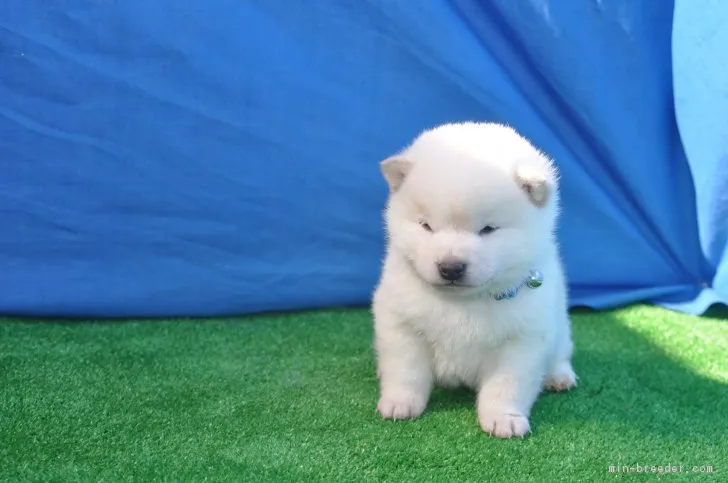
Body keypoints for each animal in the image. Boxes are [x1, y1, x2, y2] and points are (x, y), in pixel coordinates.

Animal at [372, 121, 576, 438]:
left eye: (488, 229)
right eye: (426, 226)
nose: (450, 267)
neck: (463, 302)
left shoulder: (523, 338)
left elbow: (507, 384)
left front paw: (504, 418)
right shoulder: (401, 323)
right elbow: (406, 370)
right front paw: (399, 403)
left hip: (560, 326)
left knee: (561, 353)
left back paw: (559, 377)